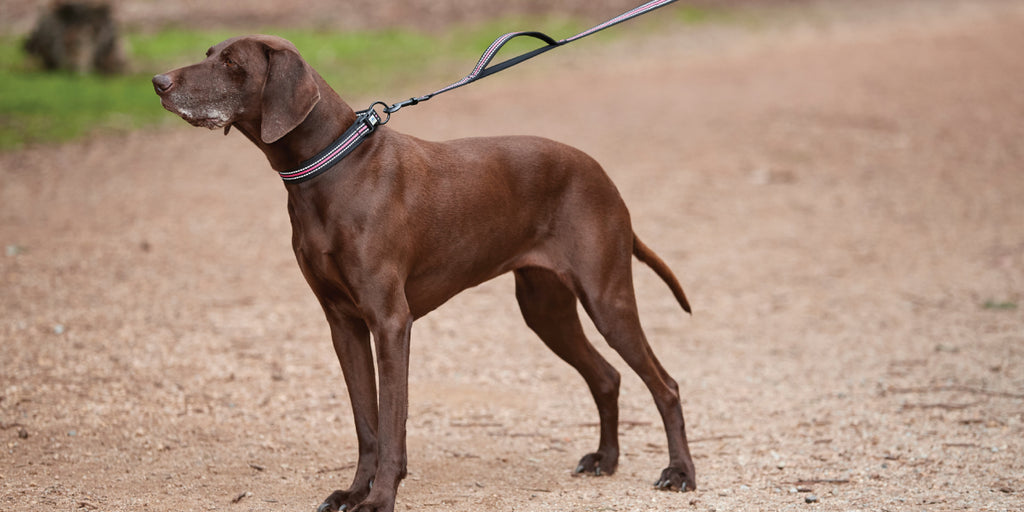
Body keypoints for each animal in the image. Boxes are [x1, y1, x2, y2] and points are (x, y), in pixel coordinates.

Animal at [151, 34, 696, 509]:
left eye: (231, 63)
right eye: (208, 53)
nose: (158, 81)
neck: (332, 169)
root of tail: (602, 175)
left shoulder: (390, 322)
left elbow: (393, 423)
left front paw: (380, 499)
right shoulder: (344, 324)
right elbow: (367, 425)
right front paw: (355, 492)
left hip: (606, 299)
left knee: (666, 385)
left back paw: (680, 473)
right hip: (545, 310)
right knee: (606, 376)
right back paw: (606, 459)